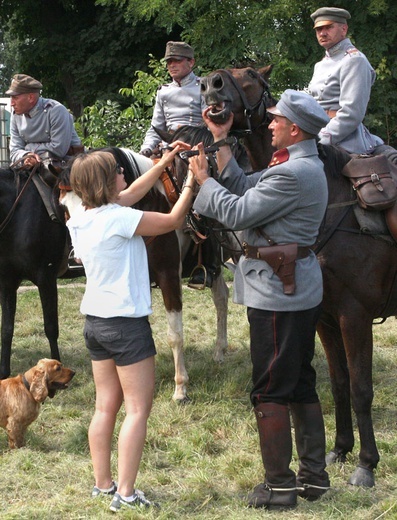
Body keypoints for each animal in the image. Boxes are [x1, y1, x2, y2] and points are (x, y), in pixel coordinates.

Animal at [200, 66, 396, 488]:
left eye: (251, 74)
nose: (210, 85)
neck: (332, 199)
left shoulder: (354, 316)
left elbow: (361, 388)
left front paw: (366, 464)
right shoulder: (324, 317)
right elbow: (339, 385)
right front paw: (340, 450)